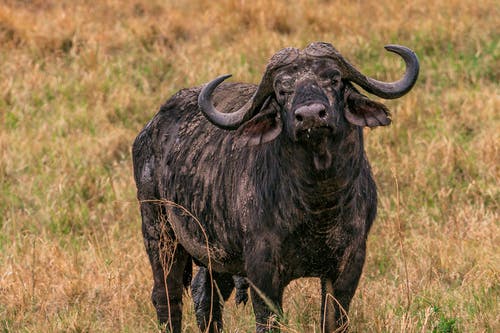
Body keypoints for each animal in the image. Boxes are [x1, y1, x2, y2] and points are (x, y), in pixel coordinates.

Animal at [132, 42, 418, 332]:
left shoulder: (349, 264)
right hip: (160, 233)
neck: (318, 204)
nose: (311, 116)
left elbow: (333, 318)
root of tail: (149, 130)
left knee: (206, 294)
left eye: (334, 79)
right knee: (167, 296)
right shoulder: (262, 272)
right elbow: (268, 320)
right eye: (282, 90)